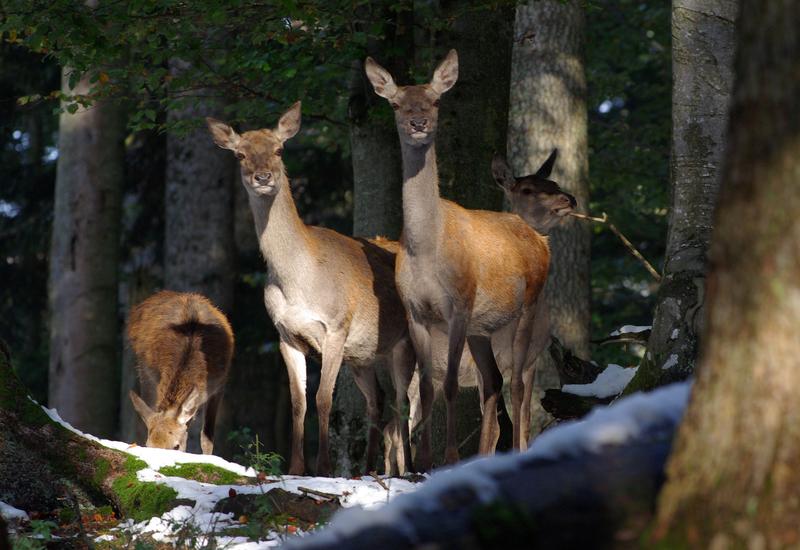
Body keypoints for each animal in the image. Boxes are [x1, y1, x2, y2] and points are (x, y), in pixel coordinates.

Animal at [206, 104, 416, 478]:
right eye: (240, 154)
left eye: (279, 149)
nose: (263, 177)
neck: (297, 281)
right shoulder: (286, 335)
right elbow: (298, 402)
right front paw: (296, 467)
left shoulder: (336, 328)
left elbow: (323, 399)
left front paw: (324, 468)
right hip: (364, 355)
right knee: (378, 400)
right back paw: (367, 468)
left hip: (407, 341)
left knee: (407, 400)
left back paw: (414, 467)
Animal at [368, 50, 552, 470]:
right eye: (396, 103)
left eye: (436, 100)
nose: (418, 122)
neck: (426, 250)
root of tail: (540, 239)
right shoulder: (417, 312)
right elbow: (427, 387)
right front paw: (422, 461)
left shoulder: (459, 305)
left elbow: (451, 384)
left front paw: (449, 456)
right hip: (482, 329)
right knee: (494, 383)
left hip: (527, 307)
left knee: (518, 385)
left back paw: (518, 452)